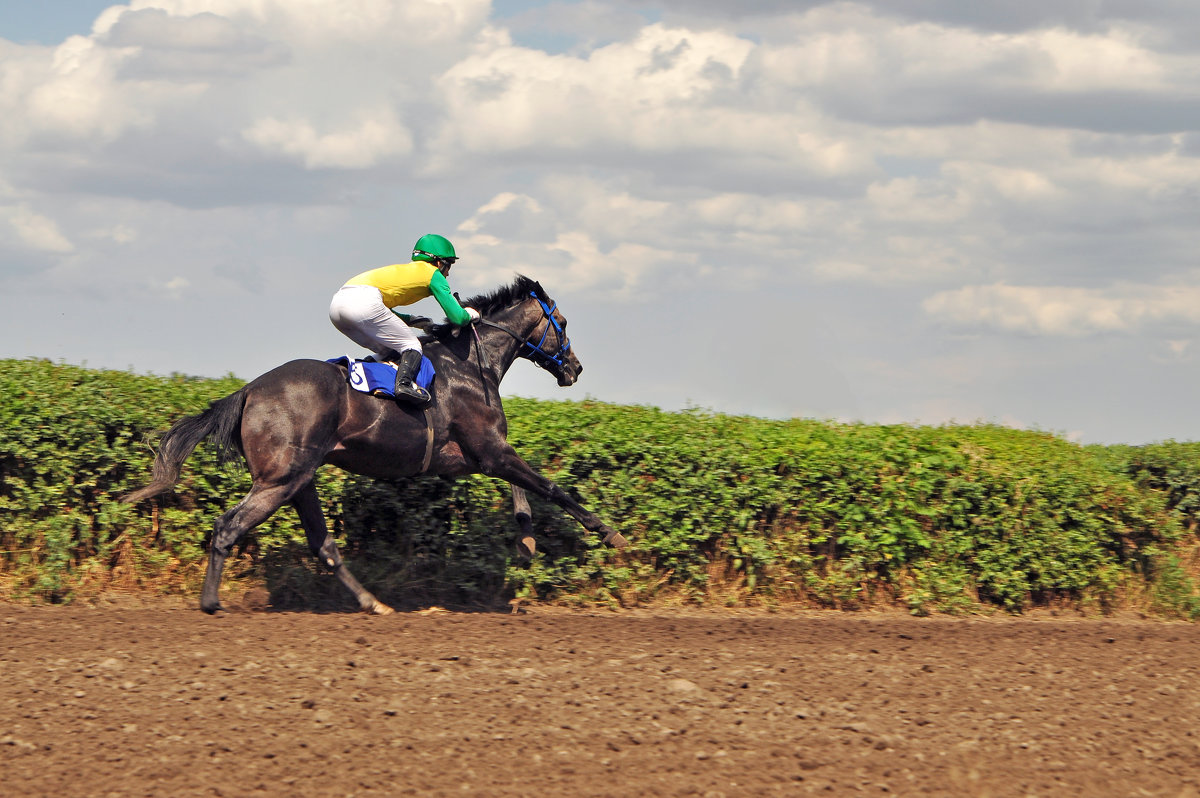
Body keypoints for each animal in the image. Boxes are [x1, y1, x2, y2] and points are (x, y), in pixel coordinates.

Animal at [120, 276, 628, 614]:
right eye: (562, 322)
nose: (575, 369)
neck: (470, 365)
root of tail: (249, 391)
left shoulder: (467, 456)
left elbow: (522, 487)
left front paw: (525, 538)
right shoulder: (489, 449)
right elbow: (551, 487)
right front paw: (610, 533)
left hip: (299, 480)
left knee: (323, 544)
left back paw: (373, 603)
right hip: (278, 480)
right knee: (228, 527)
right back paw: (210, 603)